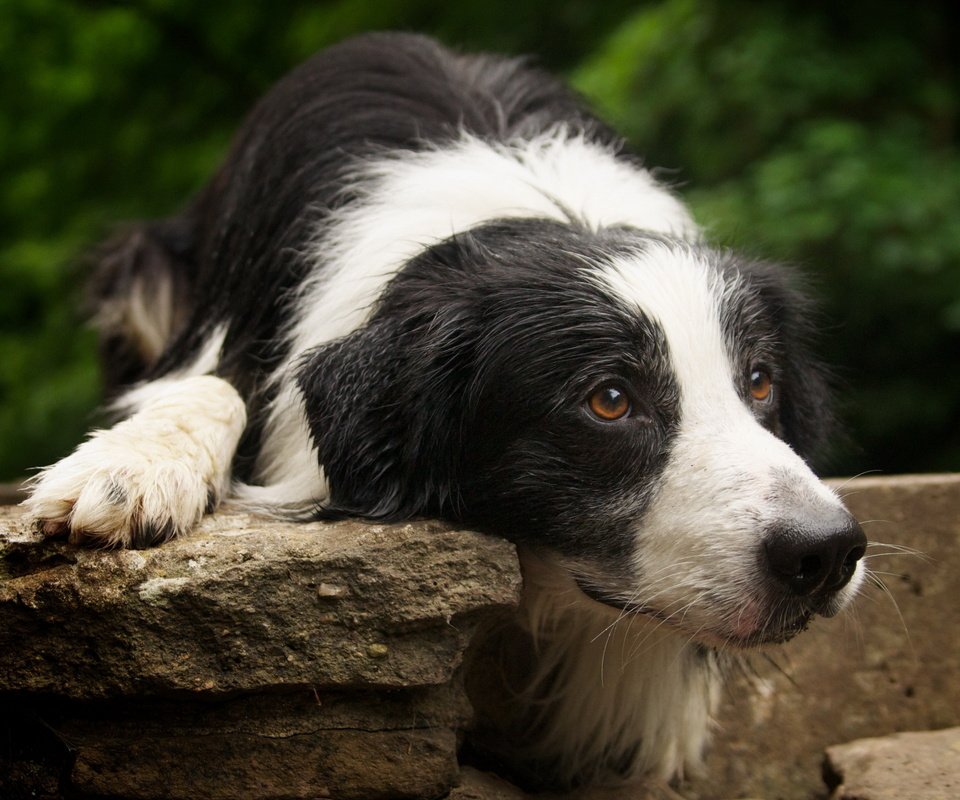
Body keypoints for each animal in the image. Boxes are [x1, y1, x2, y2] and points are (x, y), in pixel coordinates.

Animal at [22, 32, 868, 788]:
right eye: (609, 400)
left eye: (759, 383)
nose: (827, 553)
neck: (539, 217)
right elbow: (210, 385)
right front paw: (127, 471)